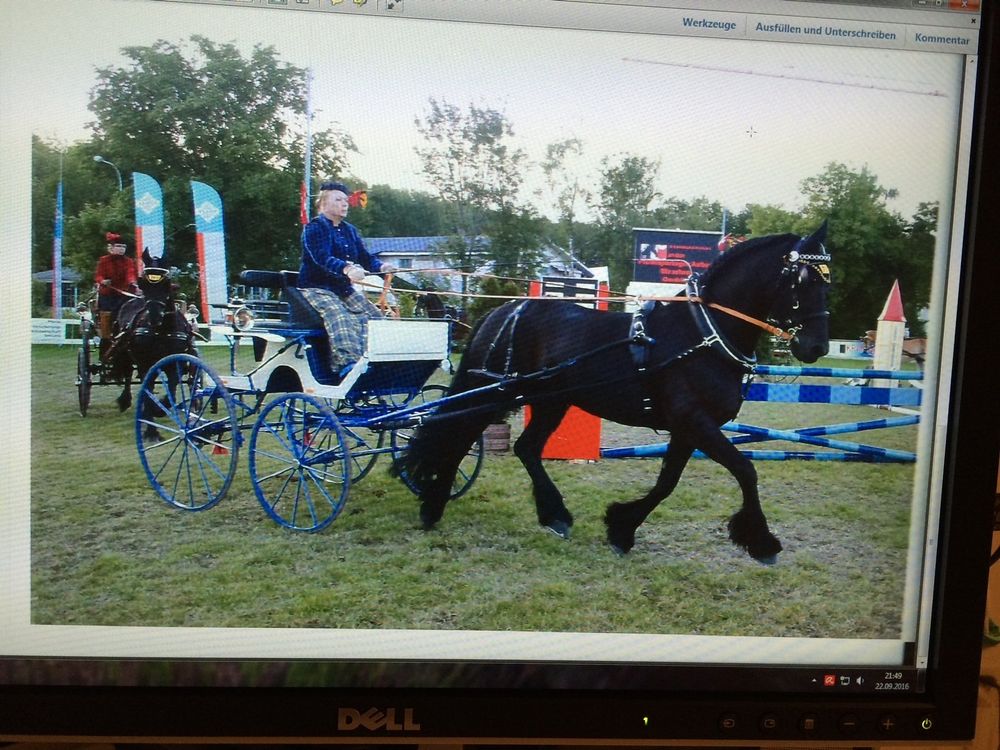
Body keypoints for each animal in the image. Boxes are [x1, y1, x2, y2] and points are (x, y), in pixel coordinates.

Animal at [394, 222, 832, 564]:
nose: (815, 346)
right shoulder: (696, 422)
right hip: (495, 394)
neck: (701, 334)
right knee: (459, 436)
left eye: (829, 280)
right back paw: (433, 506)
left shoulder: (685, 429)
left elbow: (667, 483)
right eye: (805, 279)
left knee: (525, 449)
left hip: (551, 401)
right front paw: (762, 543)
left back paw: (554, 515)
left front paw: (622, 528)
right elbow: (745, 470)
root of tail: (502, 310)